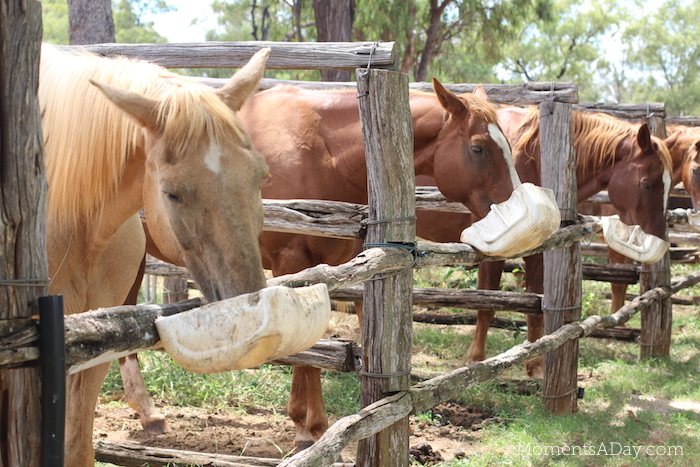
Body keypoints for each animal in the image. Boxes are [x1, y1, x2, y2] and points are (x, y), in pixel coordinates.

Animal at [120, 79, 520, 450]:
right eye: (478, 148)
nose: (514, 202)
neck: (323, 153)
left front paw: (311, 425)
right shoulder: (290, 264)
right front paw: (306, 428)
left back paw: (147, 413)